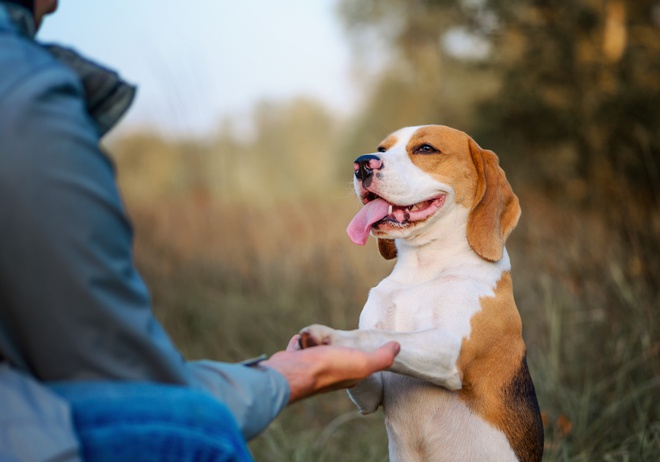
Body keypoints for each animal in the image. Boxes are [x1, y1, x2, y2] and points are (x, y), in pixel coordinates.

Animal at [302, 124, 544, 460]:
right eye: (382, 148)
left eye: (426, 149)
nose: (362, 164)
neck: (423, 269)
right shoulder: (373, 393)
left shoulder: (448, 350)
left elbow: (377, 336)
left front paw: (331, 337)